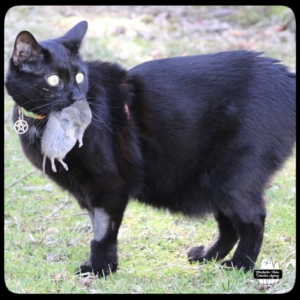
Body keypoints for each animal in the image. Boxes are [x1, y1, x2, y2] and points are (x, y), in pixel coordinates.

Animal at [5, 21, 296, 276]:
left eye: (79, 76)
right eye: (53, 80)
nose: (77, 97)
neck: (43, 124)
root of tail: (286, 76)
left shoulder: (108, 185)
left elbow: (102, 232)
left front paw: (99, 270)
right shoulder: (88, 190)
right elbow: (98, 226)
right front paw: (105, 267)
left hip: (232, 176)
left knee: (253, 219)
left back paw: (240, 266)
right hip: (212, 180)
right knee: (229, 224)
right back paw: (207, 257)